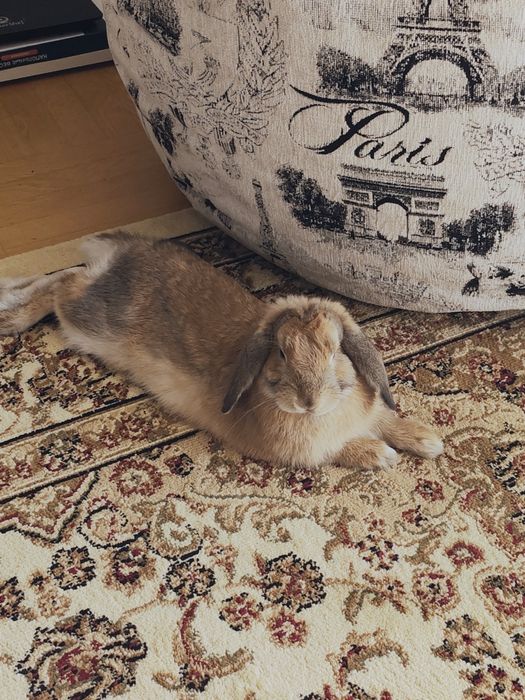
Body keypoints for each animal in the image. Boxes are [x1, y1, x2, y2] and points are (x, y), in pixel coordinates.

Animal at [0, 232, 443, 470]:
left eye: (336, 350)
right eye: (281, 353)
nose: (308, 402)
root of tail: (126, 251)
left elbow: (386, 419)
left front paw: (427, 439)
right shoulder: (310, 451)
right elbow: (343, 448)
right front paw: (381, 455)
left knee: (65, 277)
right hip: (91, 319)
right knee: (62, 283)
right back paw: (13, 316)